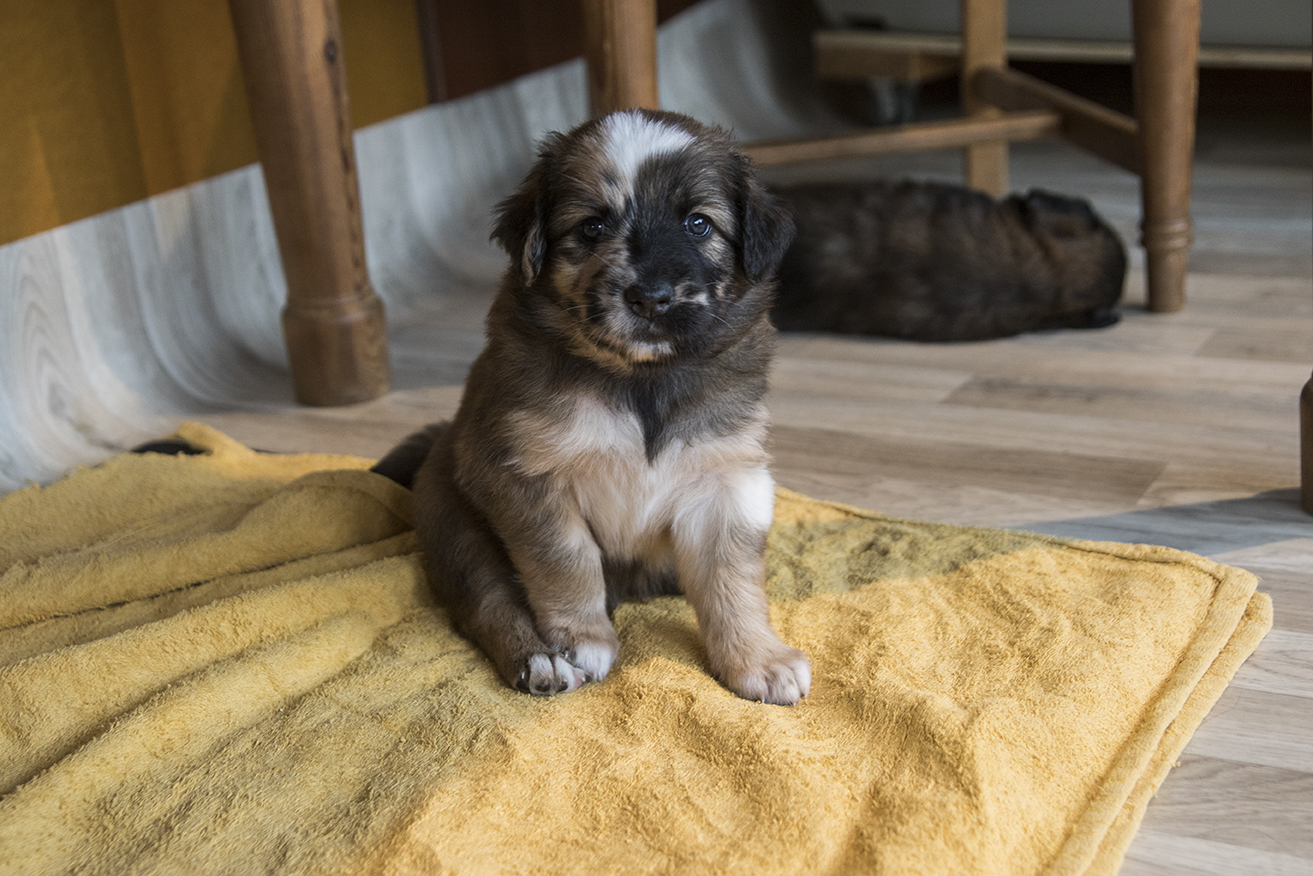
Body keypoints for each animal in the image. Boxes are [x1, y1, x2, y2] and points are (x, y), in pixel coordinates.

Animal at [373, 109, 810, 705]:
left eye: (699, 224)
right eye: (593, 227)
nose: (651, 298)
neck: (640, 381)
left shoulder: (727, 480)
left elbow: (731, 579)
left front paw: (757, 659)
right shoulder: (528, 474)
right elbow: (567, 563)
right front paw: (582, 640)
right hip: (461, 533)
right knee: (487, 604)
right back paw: (540, 660)